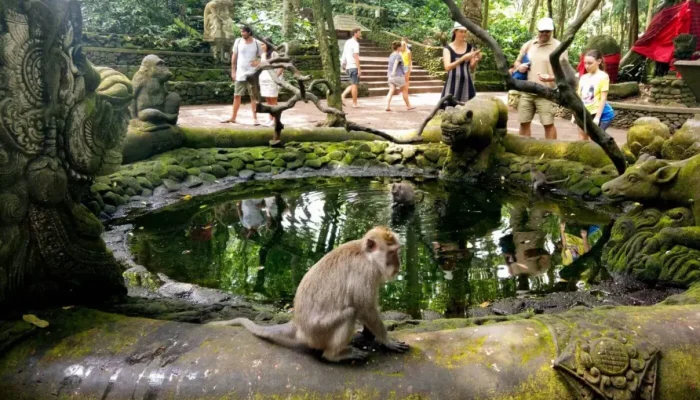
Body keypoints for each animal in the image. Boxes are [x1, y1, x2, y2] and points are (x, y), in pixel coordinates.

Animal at [208, 226, 410, 362]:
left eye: (397, 251)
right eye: (392, 252)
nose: (398, 266)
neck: (366, 255)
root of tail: (297, 324)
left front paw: (369, 335)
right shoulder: (366, 272)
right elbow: (365, 308)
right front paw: (387, 340)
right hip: (318, 332)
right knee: (350, 312)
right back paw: (335, 355)